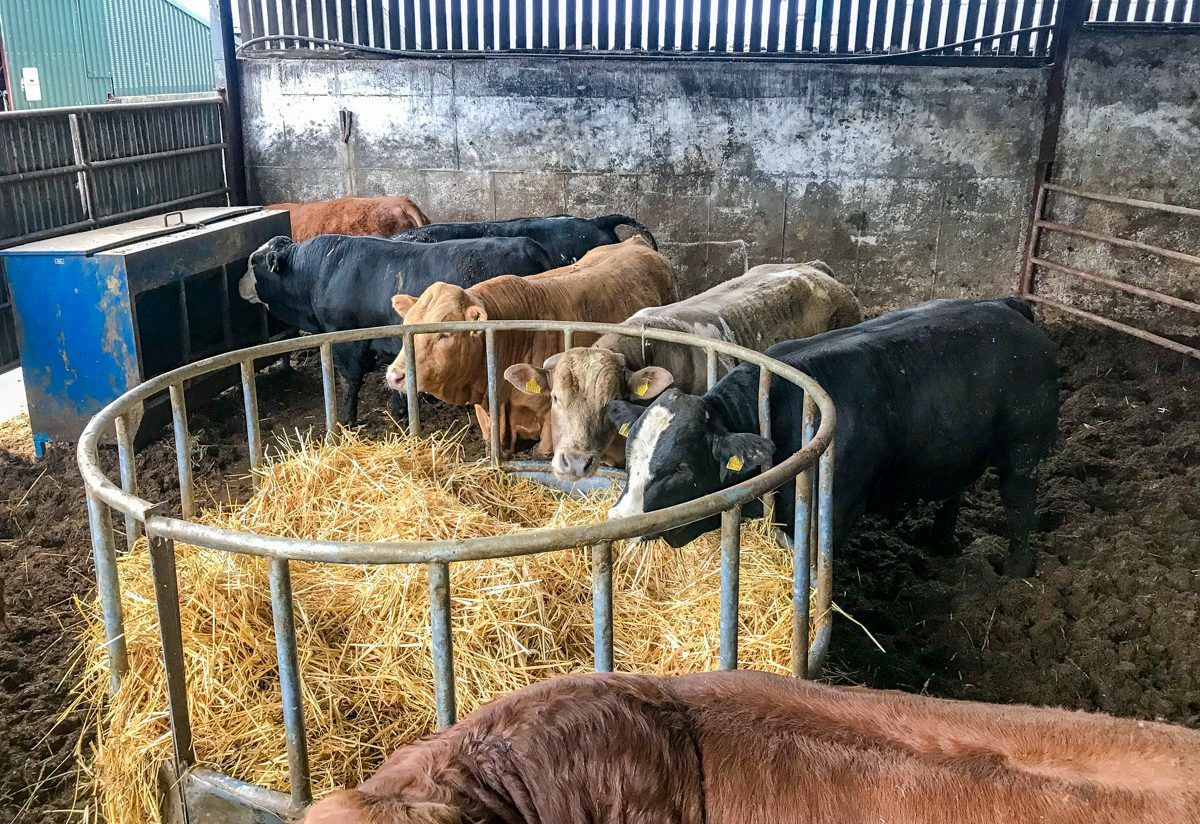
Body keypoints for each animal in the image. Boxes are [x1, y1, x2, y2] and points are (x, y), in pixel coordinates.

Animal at [238, 234, 555, 426]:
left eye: (254, 263)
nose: (238, 285)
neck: (324, 271)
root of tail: (529, 245)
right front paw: (400, 411)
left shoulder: (346, 344)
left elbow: (351, 382)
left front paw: (347, 419)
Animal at [605, 298, 1059, 577]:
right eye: (629, 454)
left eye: (680, 467)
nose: (618, 519)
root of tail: (1006, 306)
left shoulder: (836, 512)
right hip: (959, 449)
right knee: (955, 490)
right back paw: (942, 543)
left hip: (1024, 448)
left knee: (1020, 504)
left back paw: (1015, 570)